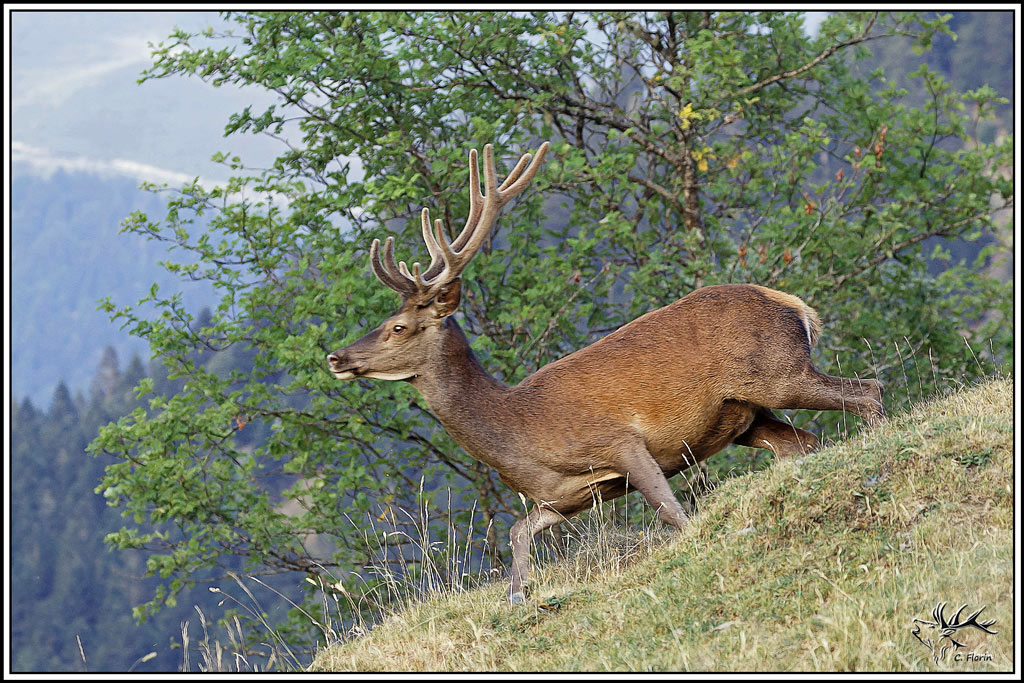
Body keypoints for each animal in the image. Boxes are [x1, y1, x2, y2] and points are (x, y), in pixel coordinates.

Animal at [327, 141, 885, 604]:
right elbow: (518, 531)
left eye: (397, 327)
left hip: (778, 371)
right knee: (803, 441)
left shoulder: (621, 442)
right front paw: (518, 596)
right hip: (746, 415)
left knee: (868, 390)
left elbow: (673, 513)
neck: (518, 430)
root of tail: (794, 304)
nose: (336, 357)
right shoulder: (566, 494)